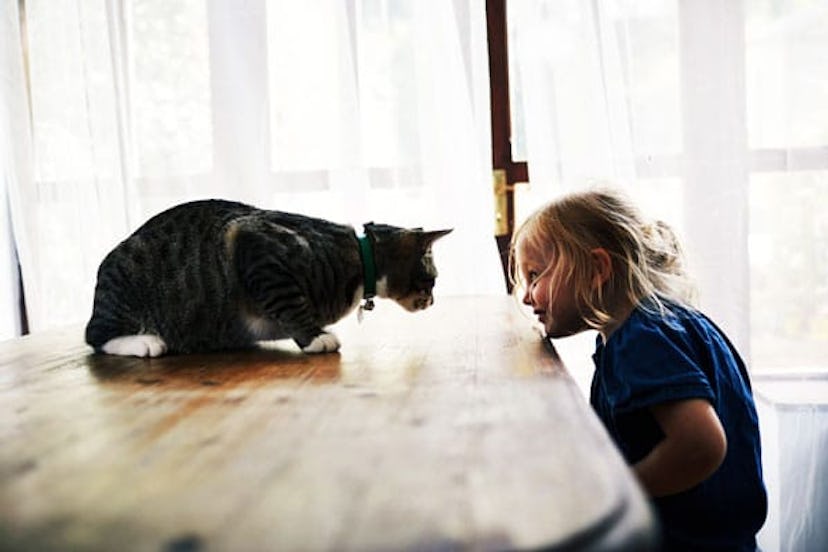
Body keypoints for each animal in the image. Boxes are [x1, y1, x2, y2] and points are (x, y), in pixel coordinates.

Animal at [85, 198, 452, 358]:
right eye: (431, 281)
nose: (433, 301)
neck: (358, 256)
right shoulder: (255, 248)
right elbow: (289, 303)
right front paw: (316, 337)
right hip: (126, 288)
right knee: (96, 335)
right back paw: (144, 342)